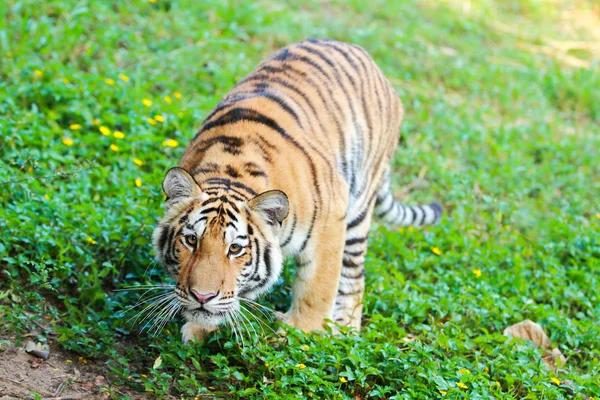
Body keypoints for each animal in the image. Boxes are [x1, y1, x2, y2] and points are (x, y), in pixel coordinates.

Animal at [151, 38, 440, 344]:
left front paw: (303, 331)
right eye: (191, 240)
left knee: (354, 275)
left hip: (359, 207)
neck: (230, 173)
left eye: (235, 248)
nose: (202, 296)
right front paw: (200, 328)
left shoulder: (331, 223)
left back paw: (345, 328)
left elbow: (317, 287)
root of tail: (364, 55)